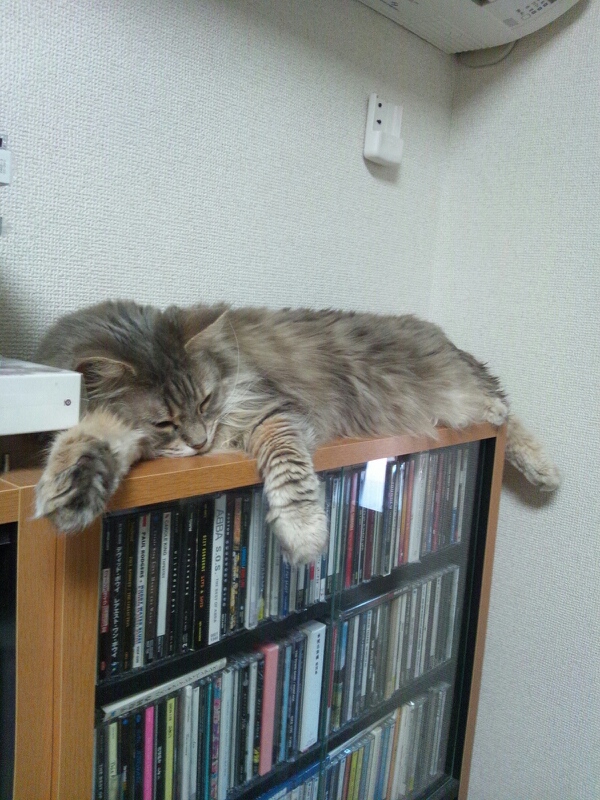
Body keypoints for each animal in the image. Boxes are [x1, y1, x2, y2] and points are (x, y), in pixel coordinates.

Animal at [34, 300, 559, 564]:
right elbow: (83, 442)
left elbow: (291, 475)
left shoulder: (270, 411)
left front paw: (304, 534)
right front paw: (70, 490)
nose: (202, 442)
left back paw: (542, 467)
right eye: (165, 422)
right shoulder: (119, 428)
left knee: (505, 412)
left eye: (204, 401)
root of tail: (442, 336)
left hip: (452, 389)